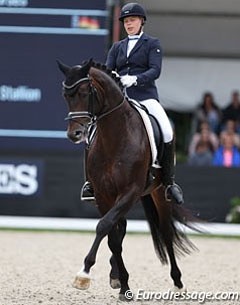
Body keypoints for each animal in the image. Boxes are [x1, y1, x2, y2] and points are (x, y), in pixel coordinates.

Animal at [57, 58, 195, 300]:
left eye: (84, 92)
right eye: (66, 95)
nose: (75, 134)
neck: (115, 136)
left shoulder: (130, 191)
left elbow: (103, 226)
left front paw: (83, 274)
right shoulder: (103, 195)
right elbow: (112, 236)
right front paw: (123, 285)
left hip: (159, 193)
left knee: (166, 233)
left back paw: (178, 283)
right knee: (120, 228)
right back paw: (116, 275)